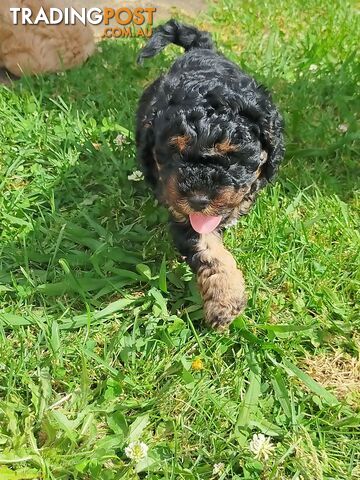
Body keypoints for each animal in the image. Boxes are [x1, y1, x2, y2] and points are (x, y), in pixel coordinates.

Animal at [135, 19, 284, 330]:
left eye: (233, 157)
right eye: (174, 153)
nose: (198, 200)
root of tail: (200, 49)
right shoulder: (183, 215)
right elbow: (208, 250)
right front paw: (225, 301)